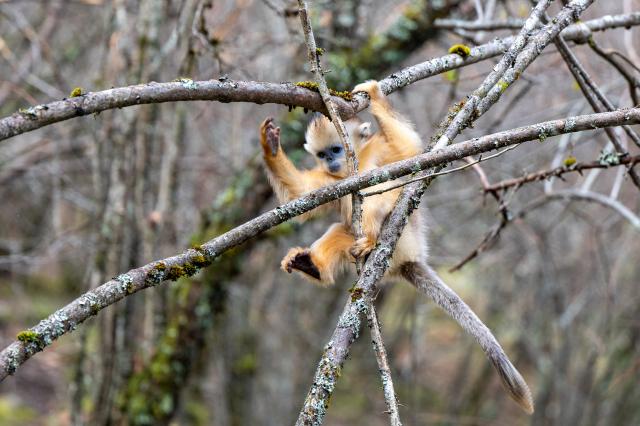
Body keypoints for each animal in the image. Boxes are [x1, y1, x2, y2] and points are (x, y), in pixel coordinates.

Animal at [258, 81, 534, 414]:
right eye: (323, 155)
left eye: (336, 149)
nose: (333, 161)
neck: (356, 163)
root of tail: (408, 260)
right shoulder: (330, 178)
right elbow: (301, 193)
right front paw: (270, 145)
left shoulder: (380, 149)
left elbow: (410, 151)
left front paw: (376, 95)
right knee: (341, 228)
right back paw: (312, 265)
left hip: (405, 236)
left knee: (380, 195)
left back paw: (371, 239)